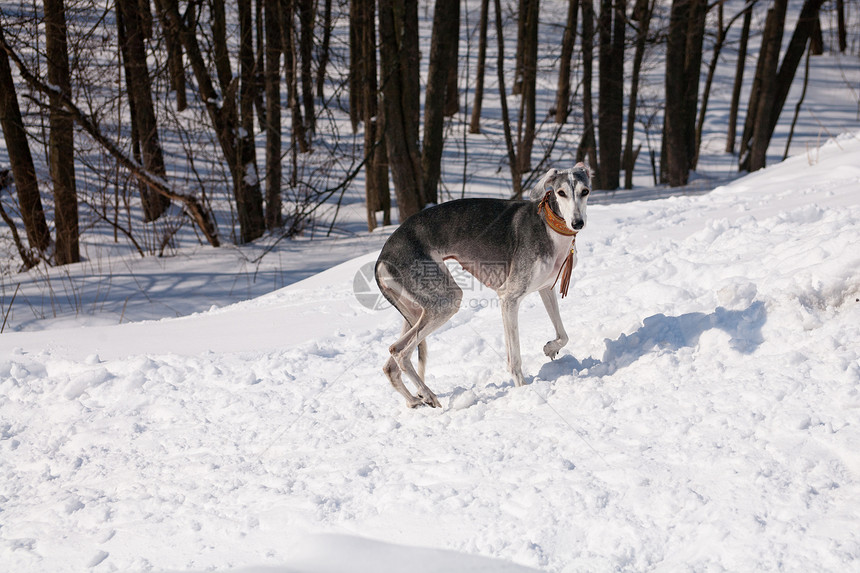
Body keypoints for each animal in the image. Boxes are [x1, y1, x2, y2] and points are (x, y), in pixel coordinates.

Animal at [376, 165, 592, 406]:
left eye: (585, 191)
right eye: (561, 193)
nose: (577, 223)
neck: (548, 226)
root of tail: (382, 257)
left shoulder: (546, 288)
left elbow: (563, 334)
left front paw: (550, 348)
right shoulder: (509, 298)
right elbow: (514, 359)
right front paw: (523, 391)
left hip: (415, 310)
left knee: (391, 363)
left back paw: (415, 400)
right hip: (445, 301)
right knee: (399, 351)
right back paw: (428, 394)